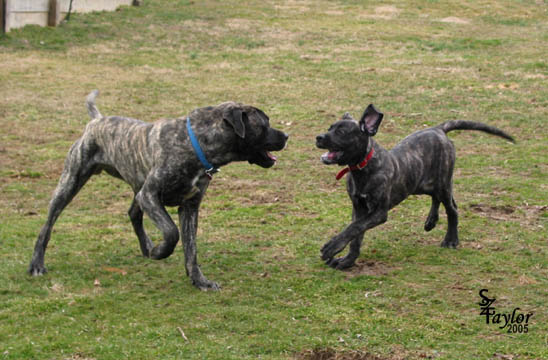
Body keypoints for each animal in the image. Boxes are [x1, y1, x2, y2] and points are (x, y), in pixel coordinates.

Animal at [28, 90, 288, 290]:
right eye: (264, 124)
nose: (286, 135)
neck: (196, 144)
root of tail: (96, 120)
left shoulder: (189, 206)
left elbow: (191, 249)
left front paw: (199, 280)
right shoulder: (151, 196)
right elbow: (171, 232)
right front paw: (162, 251)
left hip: (136, 186)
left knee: (133, 214)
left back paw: (147, 248)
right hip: (71, 182)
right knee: (47, 227)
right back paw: (37, 264)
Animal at [314, 105, 516, 270]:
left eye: (341, 131)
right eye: (330, 128)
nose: (319, 137)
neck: (363, 167)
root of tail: (438, 129)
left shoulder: (378, 212)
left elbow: (354, 228)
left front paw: (332, 248)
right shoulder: (359, 208)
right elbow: (356, 234)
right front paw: (347, 260)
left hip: (443, 182)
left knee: (452, 209)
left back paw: (451, 240)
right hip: (423, 183)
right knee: (437, 198)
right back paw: (431, 221)